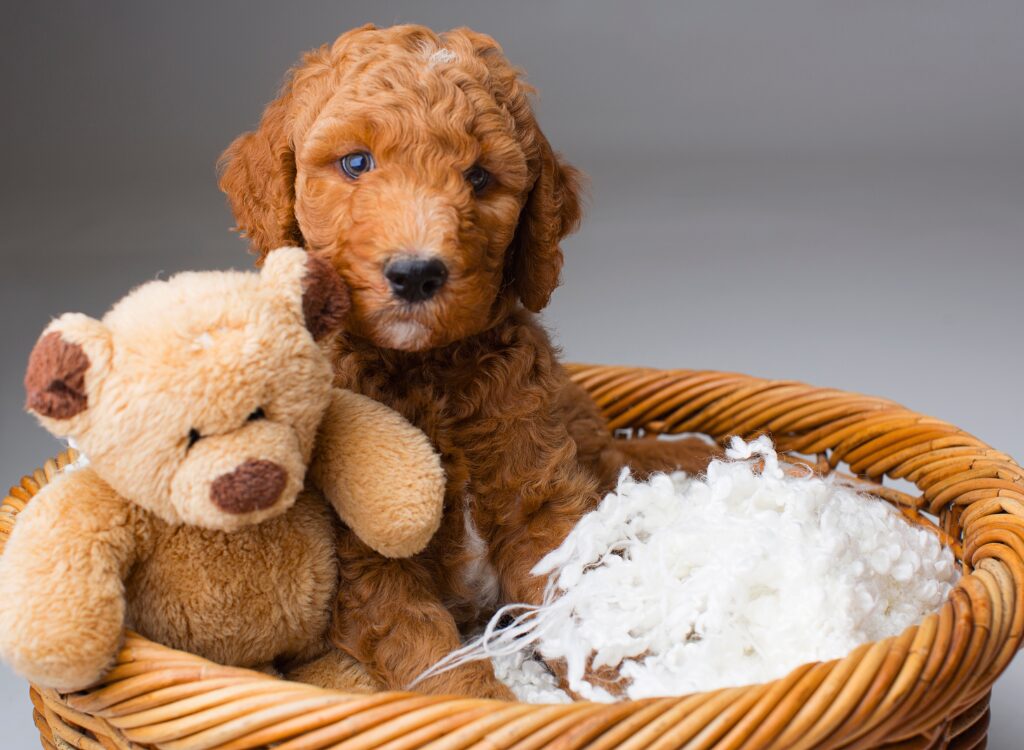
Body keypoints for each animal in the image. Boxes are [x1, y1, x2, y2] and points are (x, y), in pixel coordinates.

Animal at [220, 24, 716, 704]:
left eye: (479, 177)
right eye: (356, 163)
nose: (416, 272)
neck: (427, 370)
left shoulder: (545, 504)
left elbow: (578, 598)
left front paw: (620, 687)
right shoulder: (367, 560)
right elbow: (430, 650)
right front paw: (489, 703)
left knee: (615, 457)